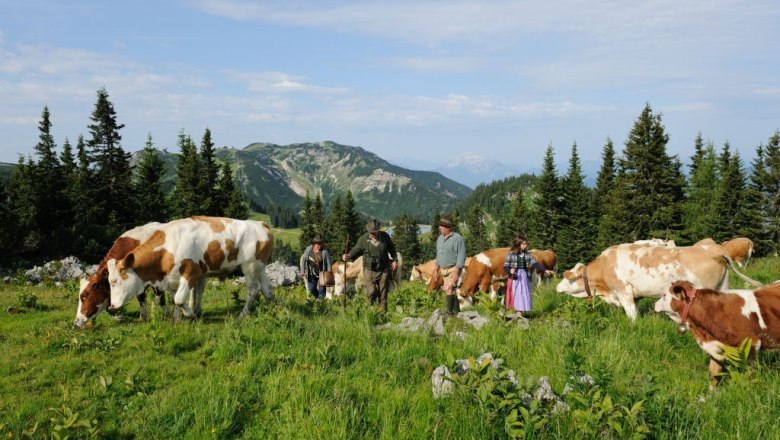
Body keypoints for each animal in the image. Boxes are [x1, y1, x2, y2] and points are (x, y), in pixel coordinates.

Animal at [105, 216, 272, 320]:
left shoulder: (191, 272)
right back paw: (274, 307)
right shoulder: (172, 279)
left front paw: (190, 314)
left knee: (253, 289)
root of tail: (260, 224)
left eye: (114, 281)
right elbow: (175, 298)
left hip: (250, 266)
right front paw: (176, 318)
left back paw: (242, 315)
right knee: (266, 287)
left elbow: (179, 299)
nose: (112, 306)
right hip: (260, 267)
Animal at [556, 242, 760, 322]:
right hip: (723, 286)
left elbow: (631, 315)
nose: (557, 288)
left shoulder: (624, 292)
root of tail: (713, 248)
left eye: (566, 278)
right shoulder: (635, 296)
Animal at [652, 280, 780, 386]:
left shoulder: (751, 344)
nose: (655, 304)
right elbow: (713, 374)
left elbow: (750, 374)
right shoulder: (715, 347)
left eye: (664, 296)